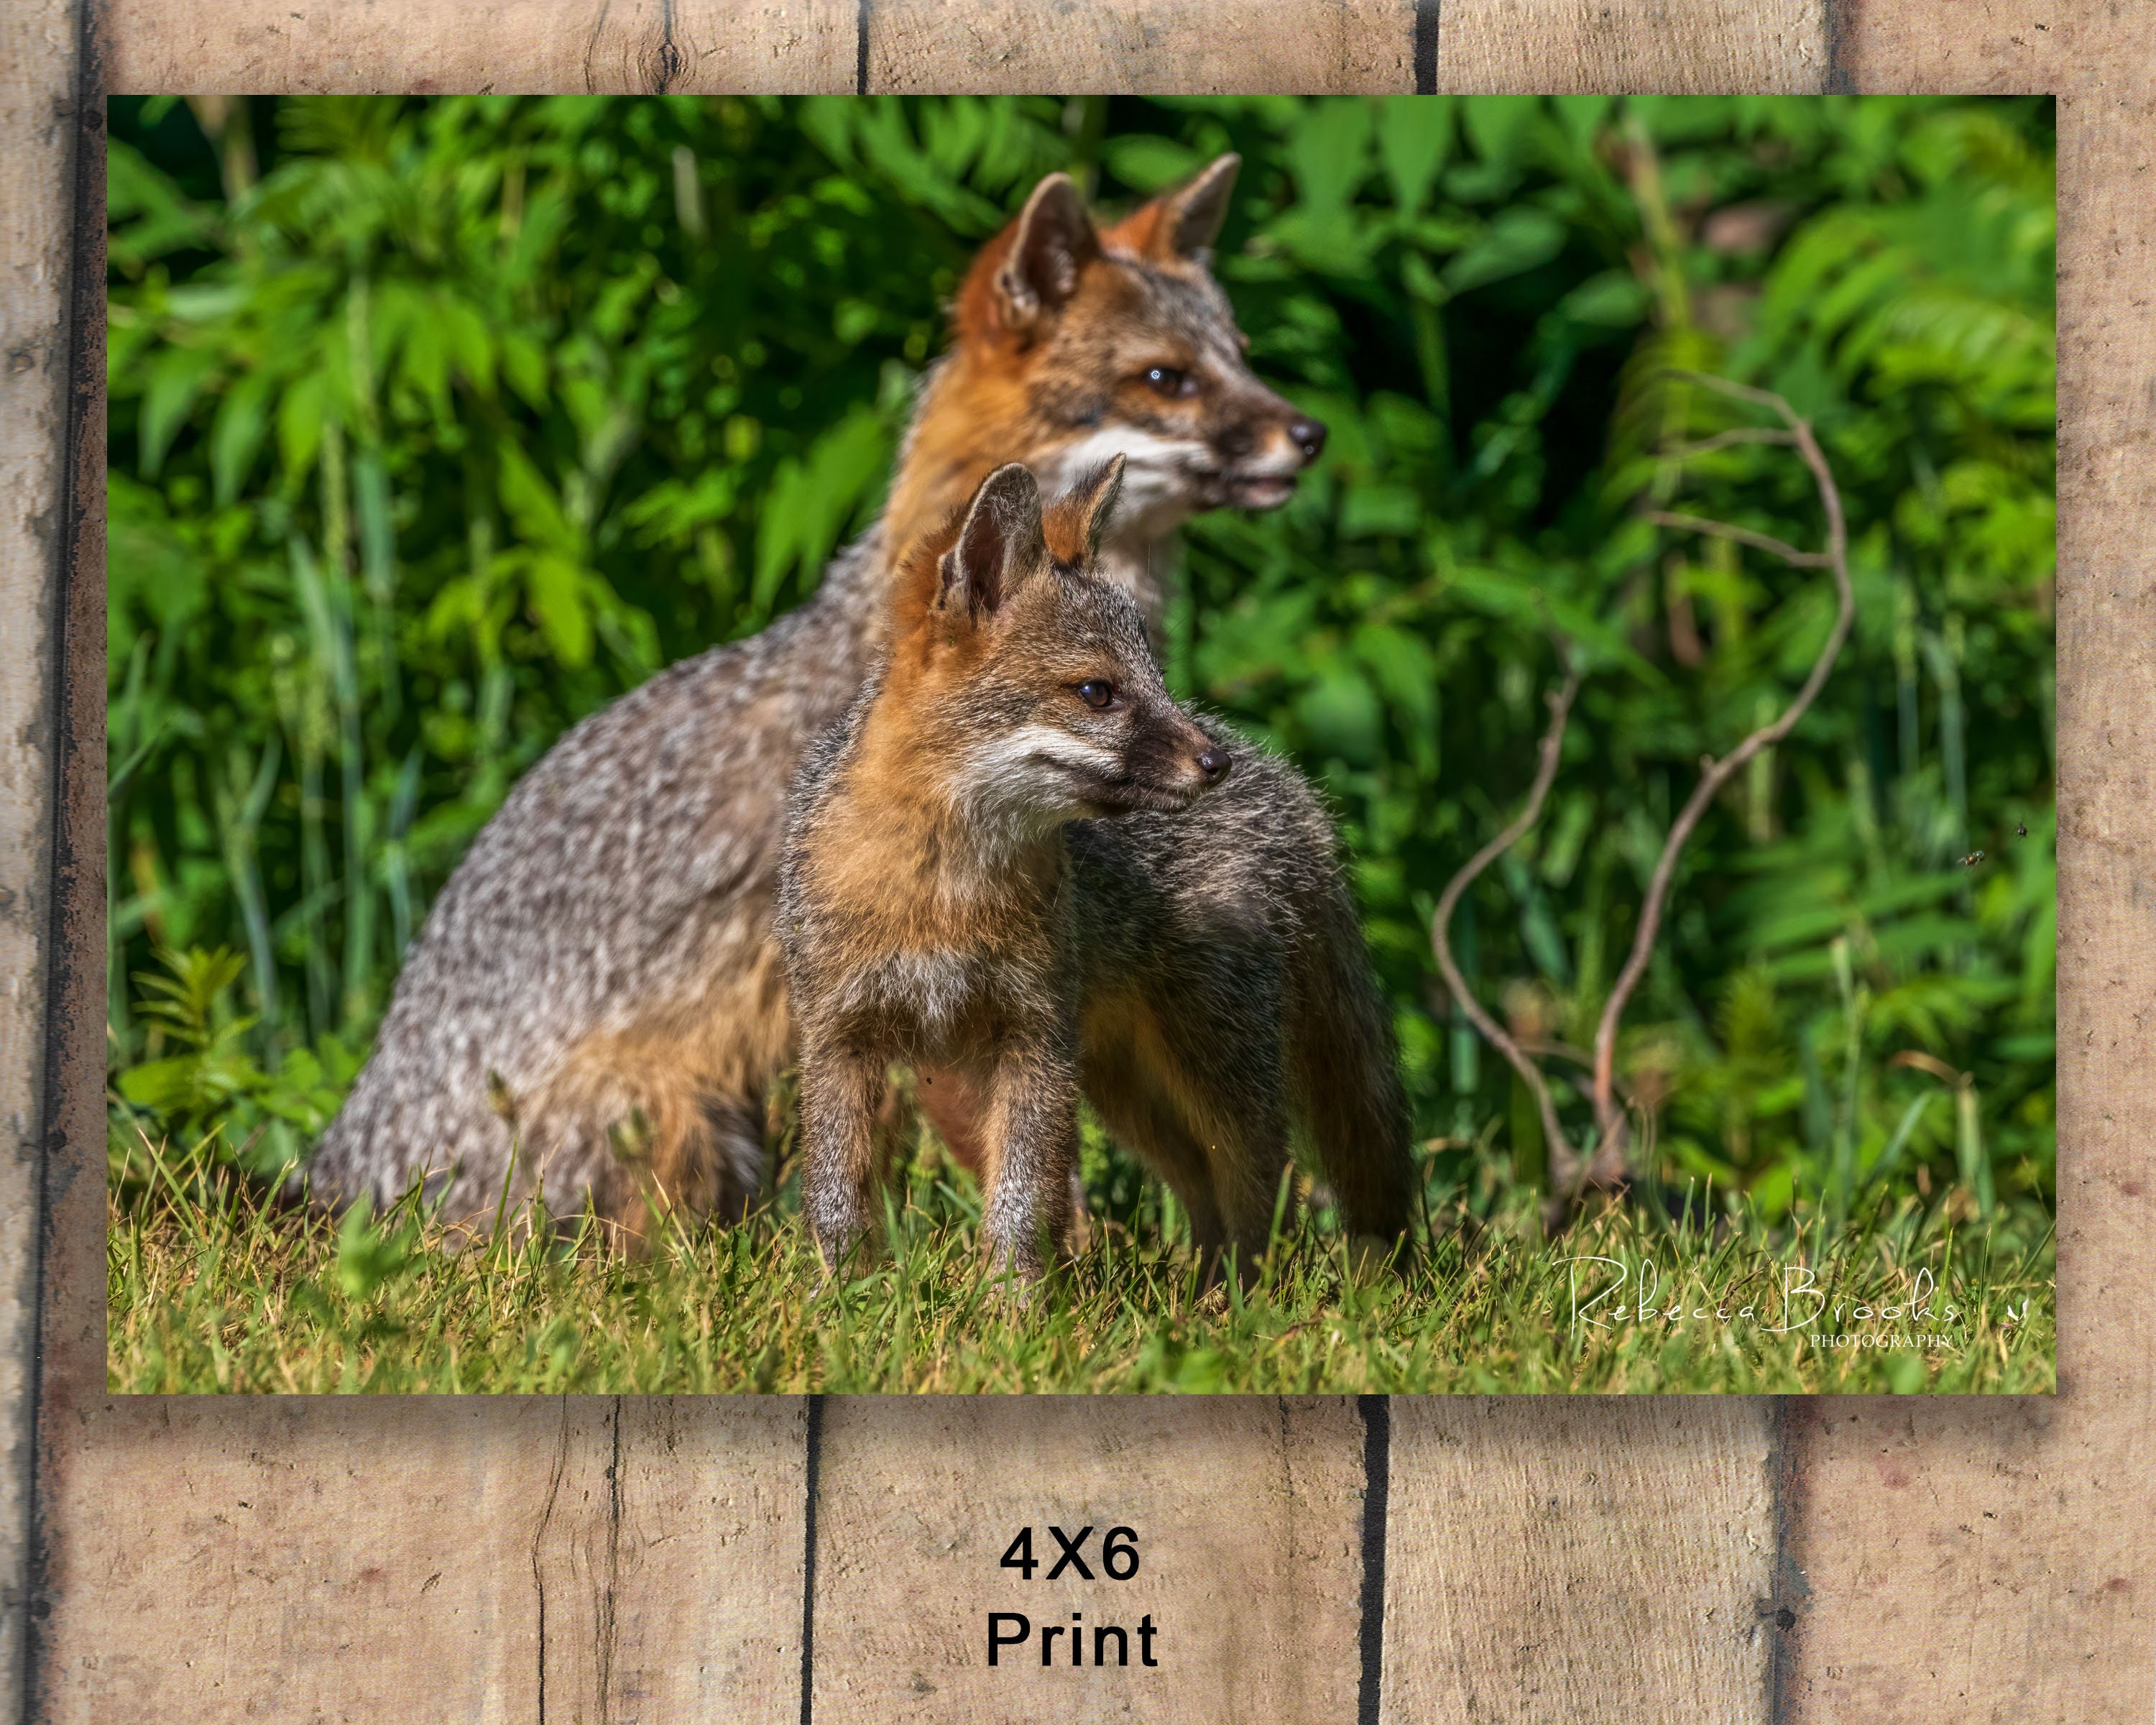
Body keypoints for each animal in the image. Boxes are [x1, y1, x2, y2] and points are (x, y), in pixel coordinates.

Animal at [782, 458, 1401, 1275]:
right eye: (1096, 693)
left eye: (1159, 681)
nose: (1215, 762)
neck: (942, 892)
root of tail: (1293, 788)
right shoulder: (840, 1039)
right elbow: (835, 1205)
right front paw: (842, 1296)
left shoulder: (1034, 1040)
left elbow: (1020, 1207)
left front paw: (1010, 1305)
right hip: (1129, 1089)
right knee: (1204, 1186)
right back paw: (1203, 1292)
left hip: (1210, 1070)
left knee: (1268, 1183)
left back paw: (1244, 1296)